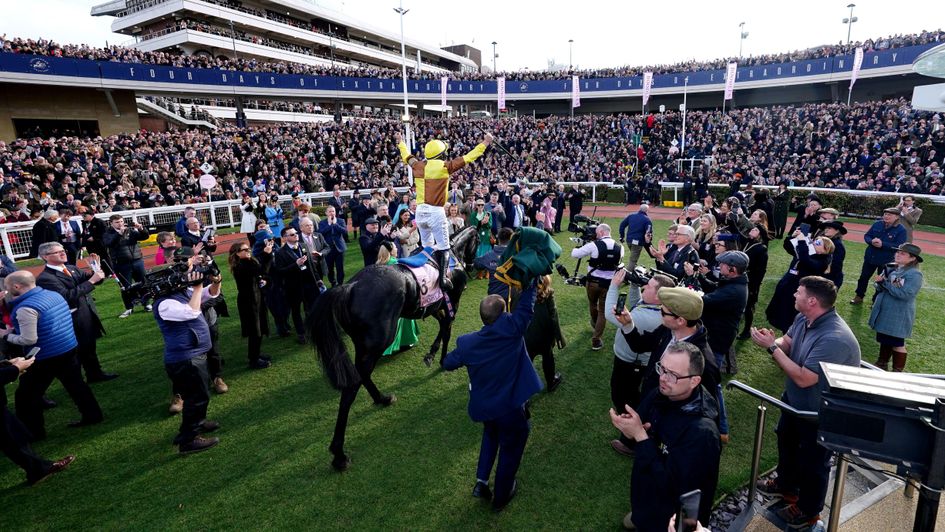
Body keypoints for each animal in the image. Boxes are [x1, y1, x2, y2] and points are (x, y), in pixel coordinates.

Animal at [314, 224, 480, 470]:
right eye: (478, 240)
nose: (472, 264)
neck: (450, 256)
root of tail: (350, 286)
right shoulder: (452, 302)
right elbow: (447, 329)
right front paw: (440, 358)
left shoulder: (435, 305)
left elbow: (443, 327)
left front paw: (434, 355)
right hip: (377, 341)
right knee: (352, 387)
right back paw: (339, 453)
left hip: (364, 343)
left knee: (361, 375)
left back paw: (382, 398)